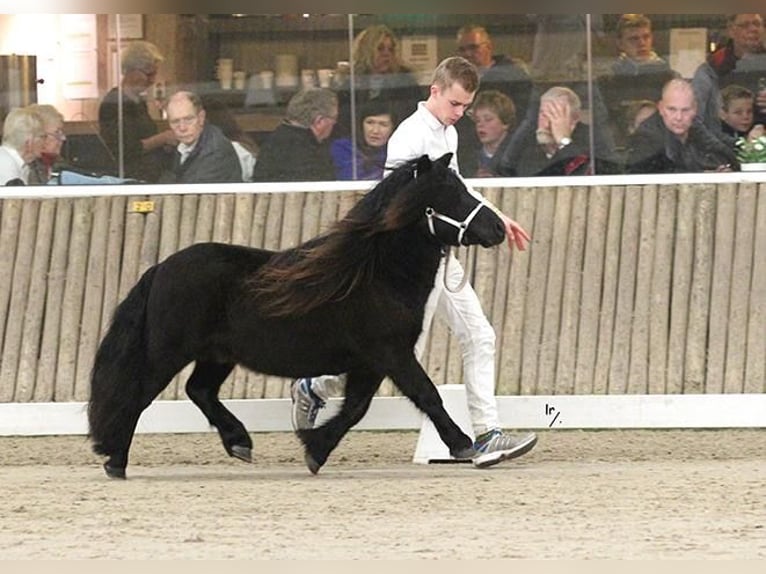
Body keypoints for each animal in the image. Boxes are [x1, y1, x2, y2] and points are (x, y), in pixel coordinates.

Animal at [87, 154, 508, 482]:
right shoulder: (391, 353)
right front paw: (464, 445)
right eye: (450, 193)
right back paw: (116, 460)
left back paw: (239, 442)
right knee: (137, 395)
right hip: (168, 353)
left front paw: (314, 449)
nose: (500, 228)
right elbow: (426, 395)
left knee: (199, 390)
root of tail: (161, 267)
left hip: (216, 355)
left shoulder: (370, 362)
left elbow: (355, 408)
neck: (374, 272)